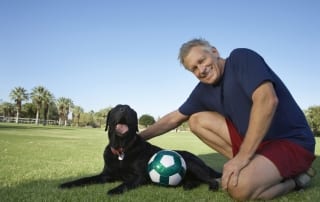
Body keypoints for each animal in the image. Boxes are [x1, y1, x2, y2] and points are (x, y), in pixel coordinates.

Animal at [59, 103, 220, 195]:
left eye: (131, 110)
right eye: (116, 108)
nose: (124, 109)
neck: (122, 149)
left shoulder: (140, 176)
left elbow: (126, 183)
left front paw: (114, 190)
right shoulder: (105, 175)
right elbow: (85, 179)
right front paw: (67, 184)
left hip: (191, 163)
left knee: (211, 179)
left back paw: (211, 187)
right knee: (197, 181)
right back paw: (188, 185)